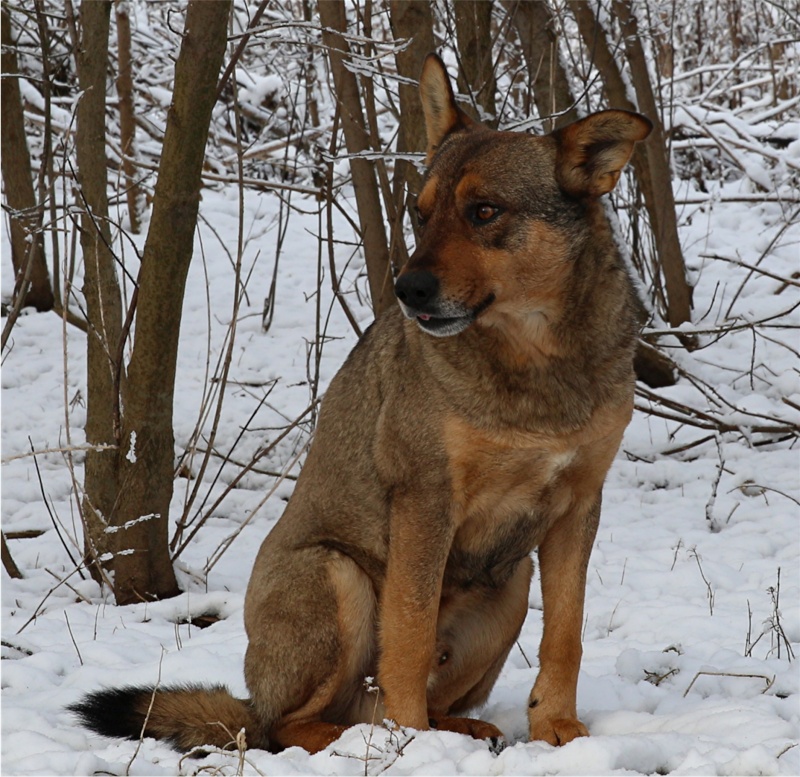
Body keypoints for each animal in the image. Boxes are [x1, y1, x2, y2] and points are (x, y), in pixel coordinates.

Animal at [72, 53, 648, 752]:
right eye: (421, 214)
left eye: (484, 211)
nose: (408, 289)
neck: (536, 361)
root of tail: (252, 698)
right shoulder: (425, 498)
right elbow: (409, 636)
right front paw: (414, 747)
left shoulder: (577, 505)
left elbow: (566, 634)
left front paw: (556, 727)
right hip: (337, 577)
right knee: (285, 727)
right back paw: (370, 739)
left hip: (507, 586)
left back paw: (453, 727)